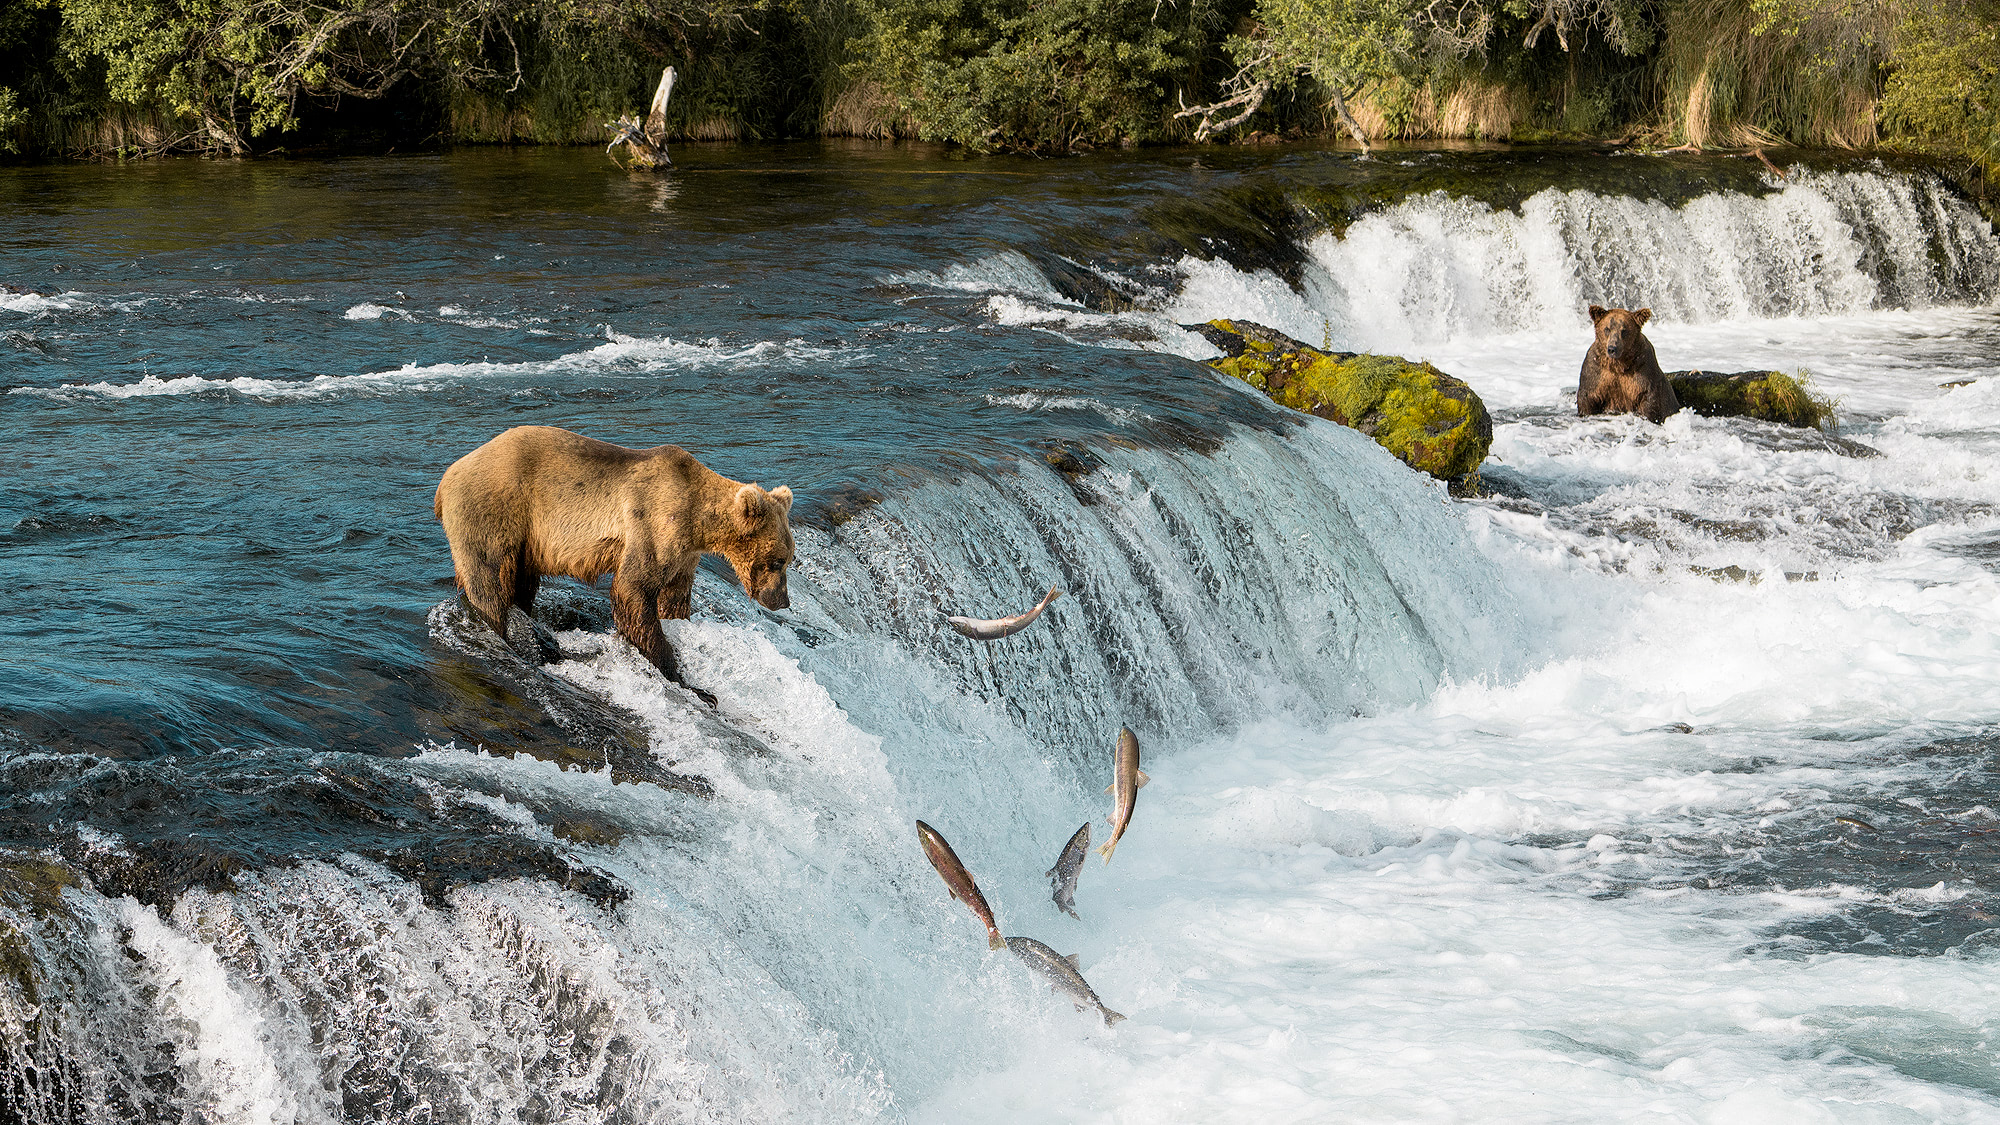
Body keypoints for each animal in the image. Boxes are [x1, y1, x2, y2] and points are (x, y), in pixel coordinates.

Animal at [434, 424, 792, 696]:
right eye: (777, 560)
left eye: (790, 558)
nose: (782, 601)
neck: (698, 522)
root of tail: (448, 475)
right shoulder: (653, 523)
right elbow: (633, 589)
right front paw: (688, 682)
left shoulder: (684, 555)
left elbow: (674, 599)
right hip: (494, 509)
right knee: (489, 582)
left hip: (525, 540)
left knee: (521, 583)